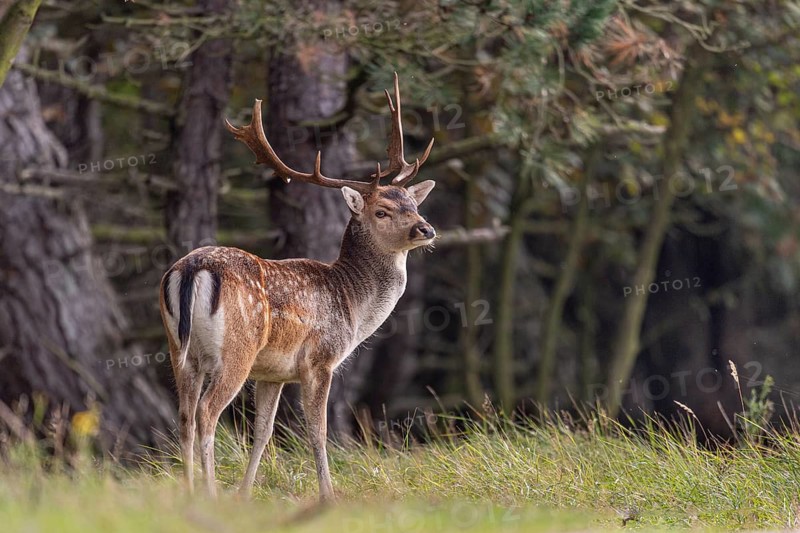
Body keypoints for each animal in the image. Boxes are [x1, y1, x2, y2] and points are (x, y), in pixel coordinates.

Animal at [159, 74, 436, 501]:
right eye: (382, 211)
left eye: (413, 204)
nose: (426, 229)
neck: (353, 306)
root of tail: (191, 269)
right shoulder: (320, 359)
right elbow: (318, 433)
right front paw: (328, 495)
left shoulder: (272, 373)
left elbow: (263, 433)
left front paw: (245, 494)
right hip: (236, 350)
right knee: (207, 412)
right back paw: (210, 491)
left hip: (179, 349)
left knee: (186, 414)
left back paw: (190, 491)